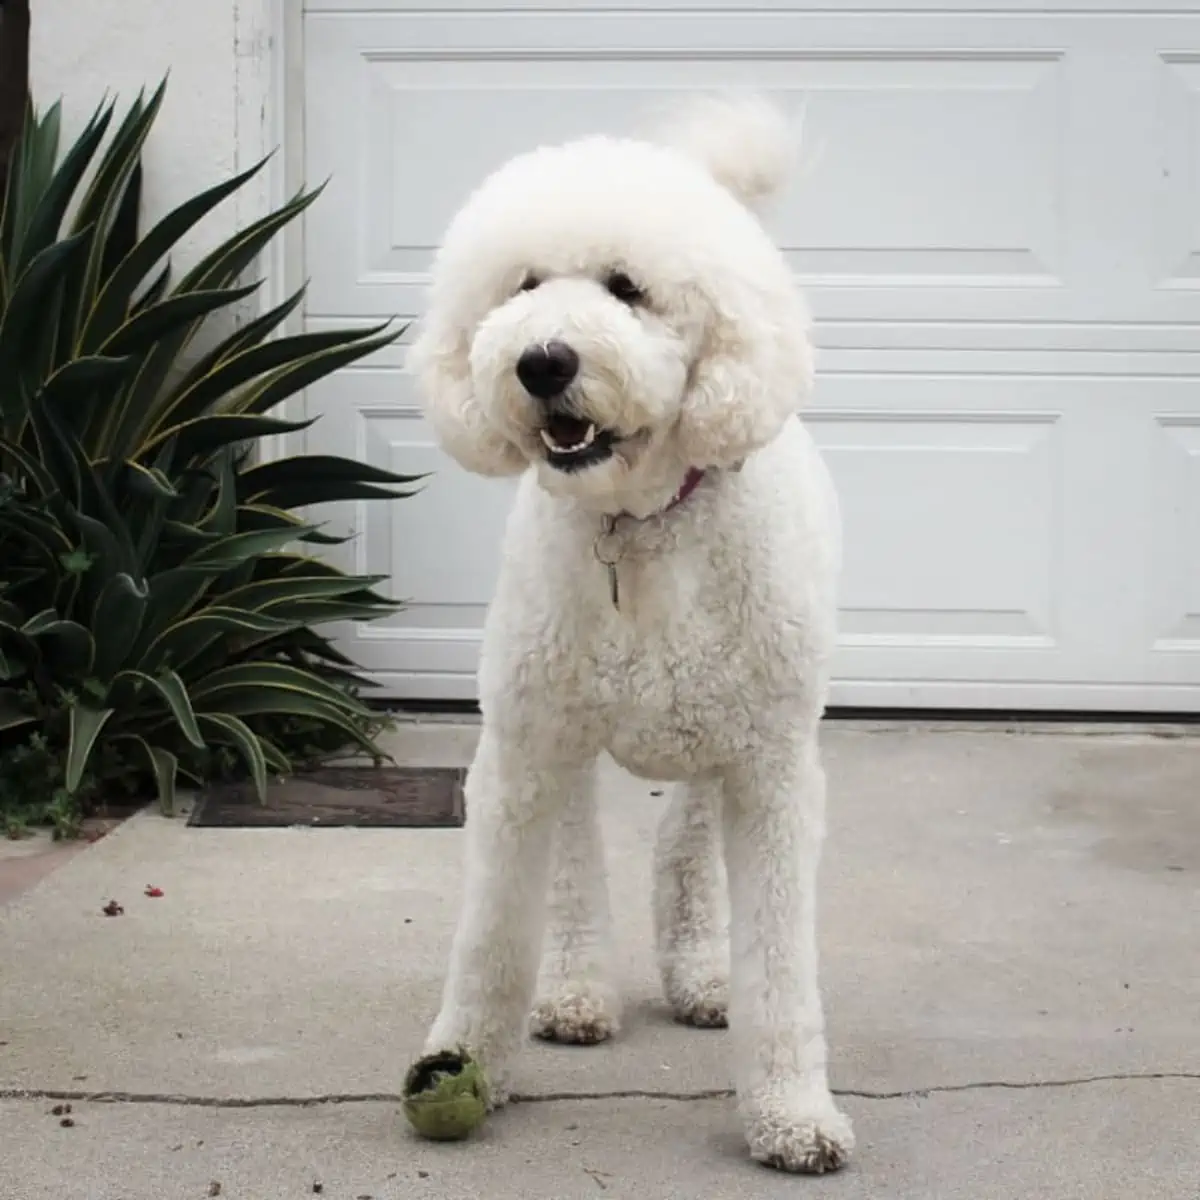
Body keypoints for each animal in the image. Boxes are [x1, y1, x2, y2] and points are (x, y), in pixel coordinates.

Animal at [410, 91, 854, 1171]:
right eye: (524, 285)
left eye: (629, 288)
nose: (541, 361)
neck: (639, 524)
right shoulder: (520, 752)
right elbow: (492, 935)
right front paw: (462, 1056)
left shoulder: (772, 771)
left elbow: (782, 961)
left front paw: (793, 1113)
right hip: (563, 731)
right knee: (575, 868)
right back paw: (574, 989)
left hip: (714, 740)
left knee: (683, 847)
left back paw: (701, 973)